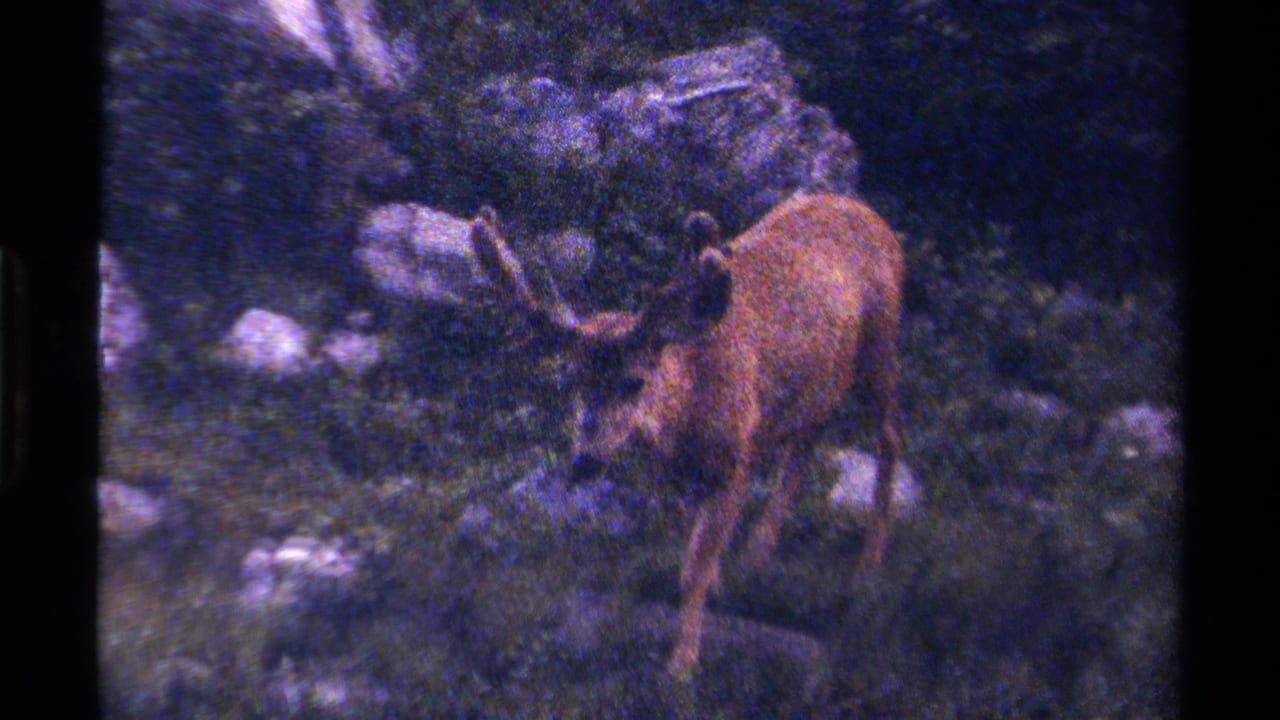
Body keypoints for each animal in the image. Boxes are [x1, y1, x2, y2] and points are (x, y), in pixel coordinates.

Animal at [468, 192, 904, 678]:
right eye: (575, 378)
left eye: (635, 381)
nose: (585, 460)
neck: (690, 402)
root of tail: (871, 215)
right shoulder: (679, 475)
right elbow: (689, 554)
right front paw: (713, 593)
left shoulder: (735, 458)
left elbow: (695, 566)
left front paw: (681, 667)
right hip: (819, 383)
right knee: (805, 445)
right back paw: (758, 554)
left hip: (881, 340)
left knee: (889, 437)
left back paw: (869, 563)